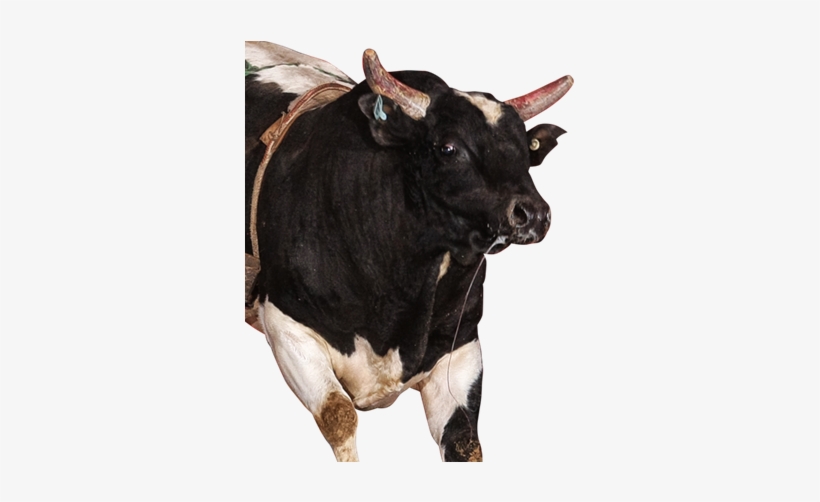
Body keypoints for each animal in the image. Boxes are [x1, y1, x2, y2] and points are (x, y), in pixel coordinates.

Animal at [245, 42, 572, 462]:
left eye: (526, 153)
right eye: (448, 148)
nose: (534, 214)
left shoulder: (460, 347)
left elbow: (465, 442)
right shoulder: (285, 324)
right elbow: (339, 415)